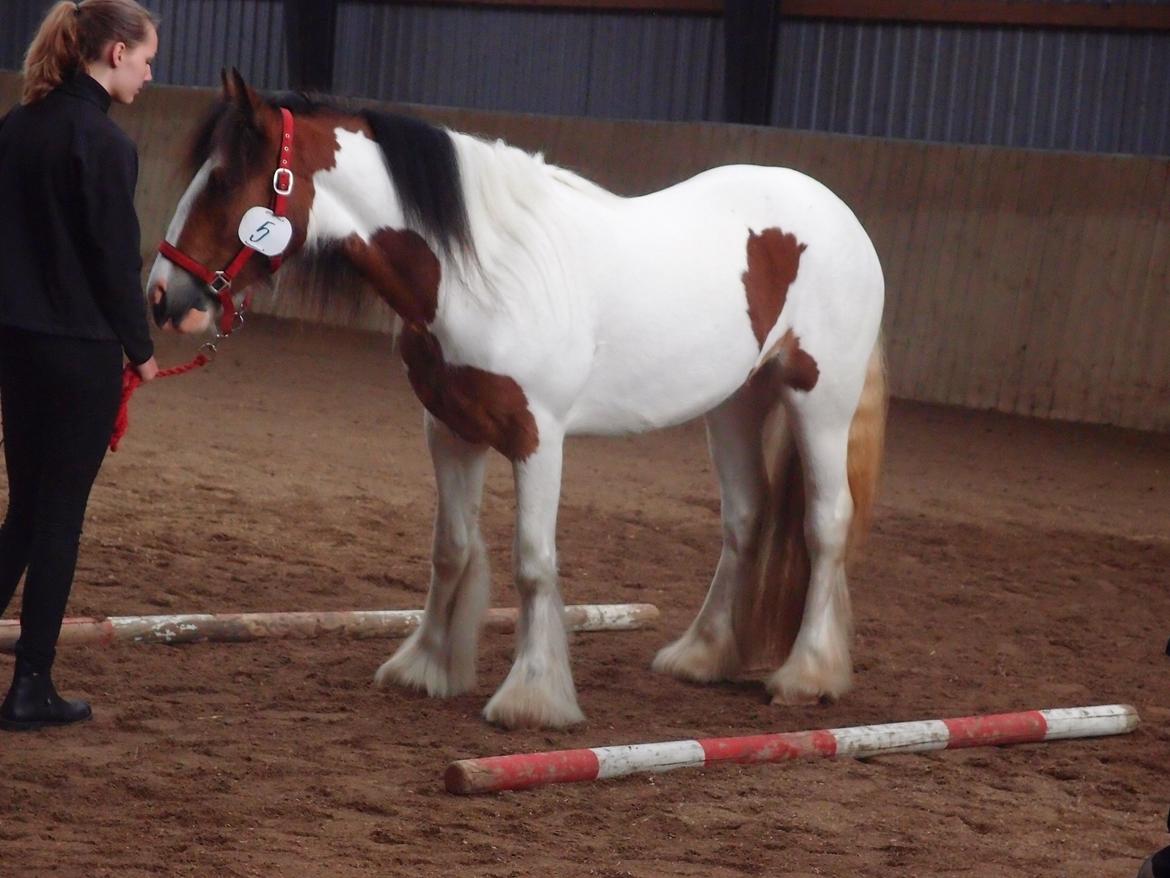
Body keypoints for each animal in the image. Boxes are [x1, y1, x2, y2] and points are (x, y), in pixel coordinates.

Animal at [150, 67, 889, 730]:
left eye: (223, 180)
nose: (163, 295)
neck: (481, 272)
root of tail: (840, 216)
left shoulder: (538, 438)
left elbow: (533, 563)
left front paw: (533, 698)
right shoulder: (450, 430)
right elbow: (451, 547)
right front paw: (427, 666)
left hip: (818, 401)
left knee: (825, 524)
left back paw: (807, 674)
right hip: (736, 404)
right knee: (745, 520)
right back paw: (701, 656)